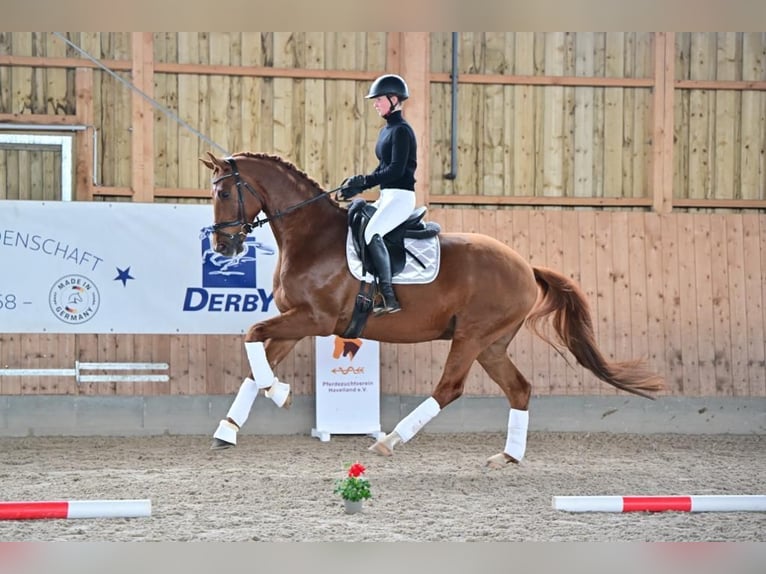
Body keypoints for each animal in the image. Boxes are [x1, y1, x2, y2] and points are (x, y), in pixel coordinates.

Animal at [200, 151, 664, 468]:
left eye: (223, 192)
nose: (223, 247)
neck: (312, 236)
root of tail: (525, 267)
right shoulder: (296, 322)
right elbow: (255, 362)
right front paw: (230, 428)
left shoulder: (313, 319)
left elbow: (252, 337)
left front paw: (278, 394)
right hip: (491, 345)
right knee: (519, 389)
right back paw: (508, 457)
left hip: (471, 337)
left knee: (449, 389)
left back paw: (389, 440)